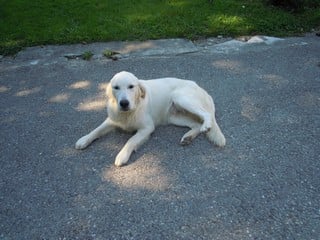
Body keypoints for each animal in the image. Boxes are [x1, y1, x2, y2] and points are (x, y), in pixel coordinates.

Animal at [75, 70, 226, 166]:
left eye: (131, 86)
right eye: (116, 87)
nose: (124, 103)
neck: (129, 112)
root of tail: (200, 87)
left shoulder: (147, 128)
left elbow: (131, 140)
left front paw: (122, 155)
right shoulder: (112, 119)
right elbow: (96, 130)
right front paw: (84, 139)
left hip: (182, 98)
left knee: (206, 115)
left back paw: (206, 126)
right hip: (174, 116)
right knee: (196, 124)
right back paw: (188, 137)